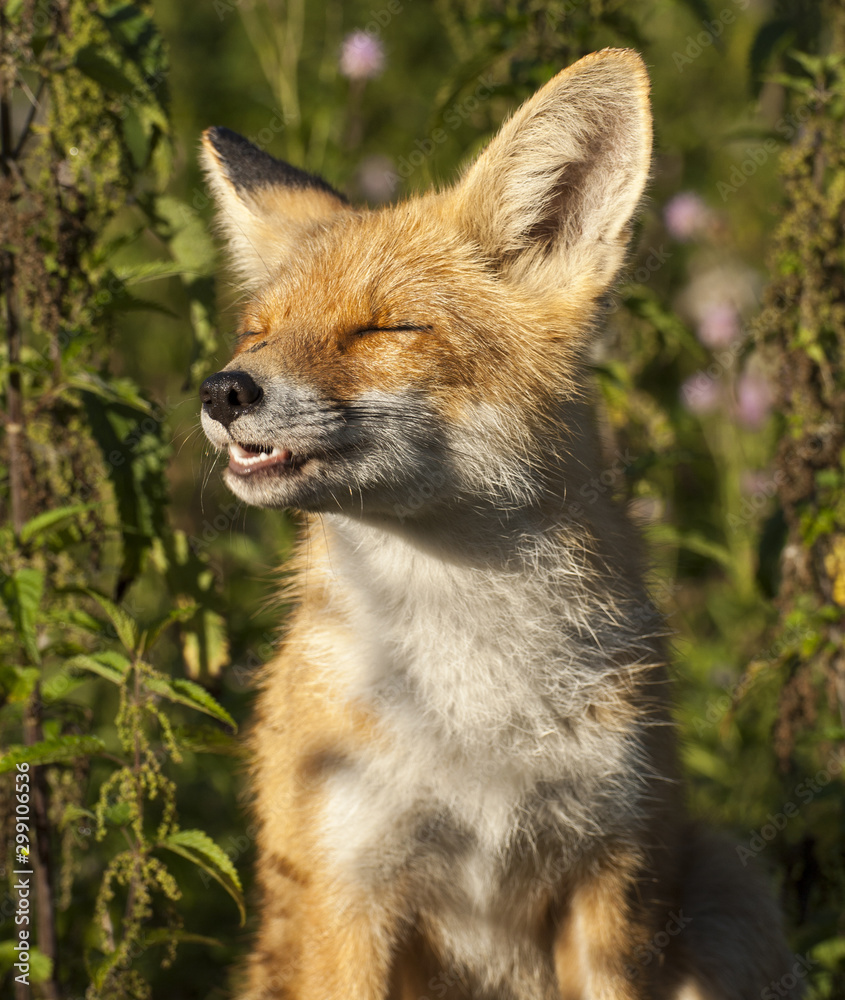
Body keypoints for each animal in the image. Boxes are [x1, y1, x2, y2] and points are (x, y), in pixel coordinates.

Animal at [198, 49, 798, 1000]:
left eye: (383, 328)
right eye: (257, 332)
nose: (223, 391)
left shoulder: (609, 882)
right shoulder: (351, 890)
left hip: (727, 897)